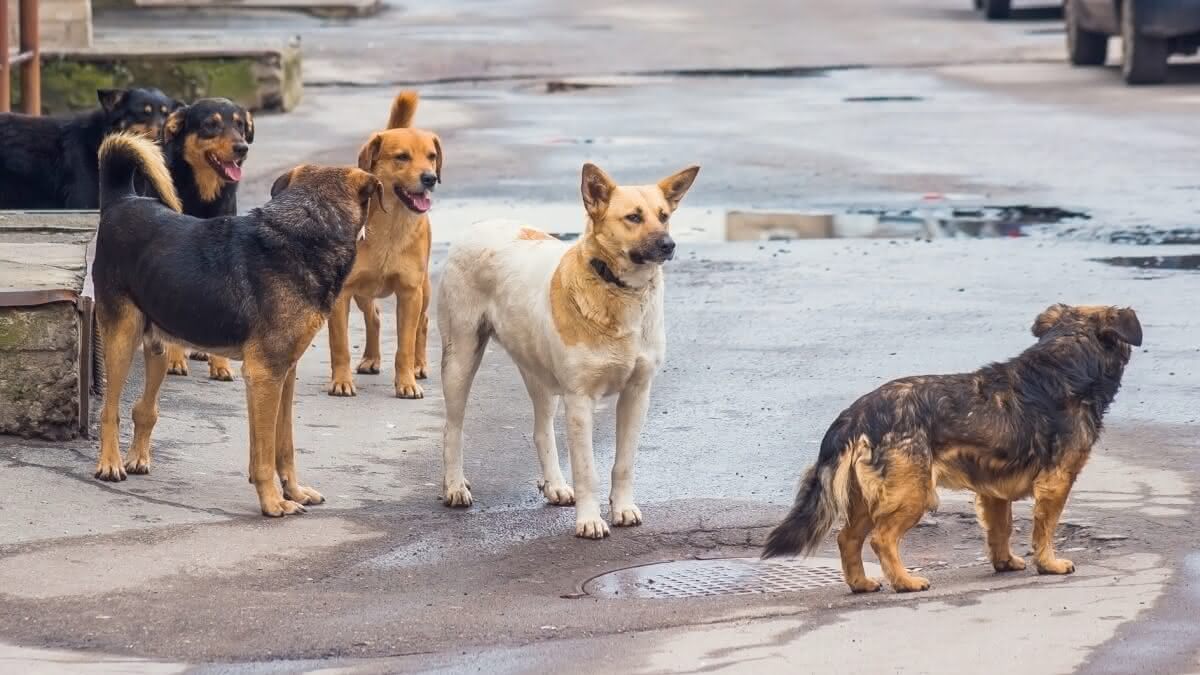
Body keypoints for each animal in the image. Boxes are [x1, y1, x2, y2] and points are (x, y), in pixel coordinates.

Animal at [91, 133, 381, 516]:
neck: (307, 228)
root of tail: (122, 200)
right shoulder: (264, 375)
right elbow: (264, 454)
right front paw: (272, 502)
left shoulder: (285, 373)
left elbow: (284, 445)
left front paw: (294, 491)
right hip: (122, 338)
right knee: (109, 410)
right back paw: (110, 464)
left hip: (158, 345)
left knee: (144, 408)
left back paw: (137, 457)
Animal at [326, 88, 444, 393]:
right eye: (402, 157)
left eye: (431, 156)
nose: (430, 178)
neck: (391, 226)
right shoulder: (342, 293)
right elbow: (340, 344)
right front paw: (341, 381)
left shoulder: (410, 293)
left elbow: (405, 346)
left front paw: (406, 383)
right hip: (363, 292)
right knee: (374, 318)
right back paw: (371, 358)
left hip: (424, 290)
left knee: (423, 323)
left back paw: (419, 365)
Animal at [436, 163, 700, 535]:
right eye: (633, 217)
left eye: (664, 216)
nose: (669, 244)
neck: (617, 289)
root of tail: (479, 225)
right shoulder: (580, 400)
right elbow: (587, 470)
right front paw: (589, 521)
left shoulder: (637, 393)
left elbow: (624, 463)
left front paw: (622, 508)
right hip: (460, 359)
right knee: (453, 428)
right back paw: (455, 486)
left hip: (539, 374)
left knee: (541, 431)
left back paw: (555, 485)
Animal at [763, 302, 1137, 590]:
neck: (1065, 362)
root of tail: (856, 415)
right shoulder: (1056, 482)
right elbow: (1044, 529)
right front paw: (1049, 564)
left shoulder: (993, 490)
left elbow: (1000, 529)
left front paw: (1004, 562)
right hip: (912, 493)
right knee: (881, 539)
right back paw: (905, 582)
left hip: (868, 497)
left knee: (847, 539)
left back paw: (862, 584)